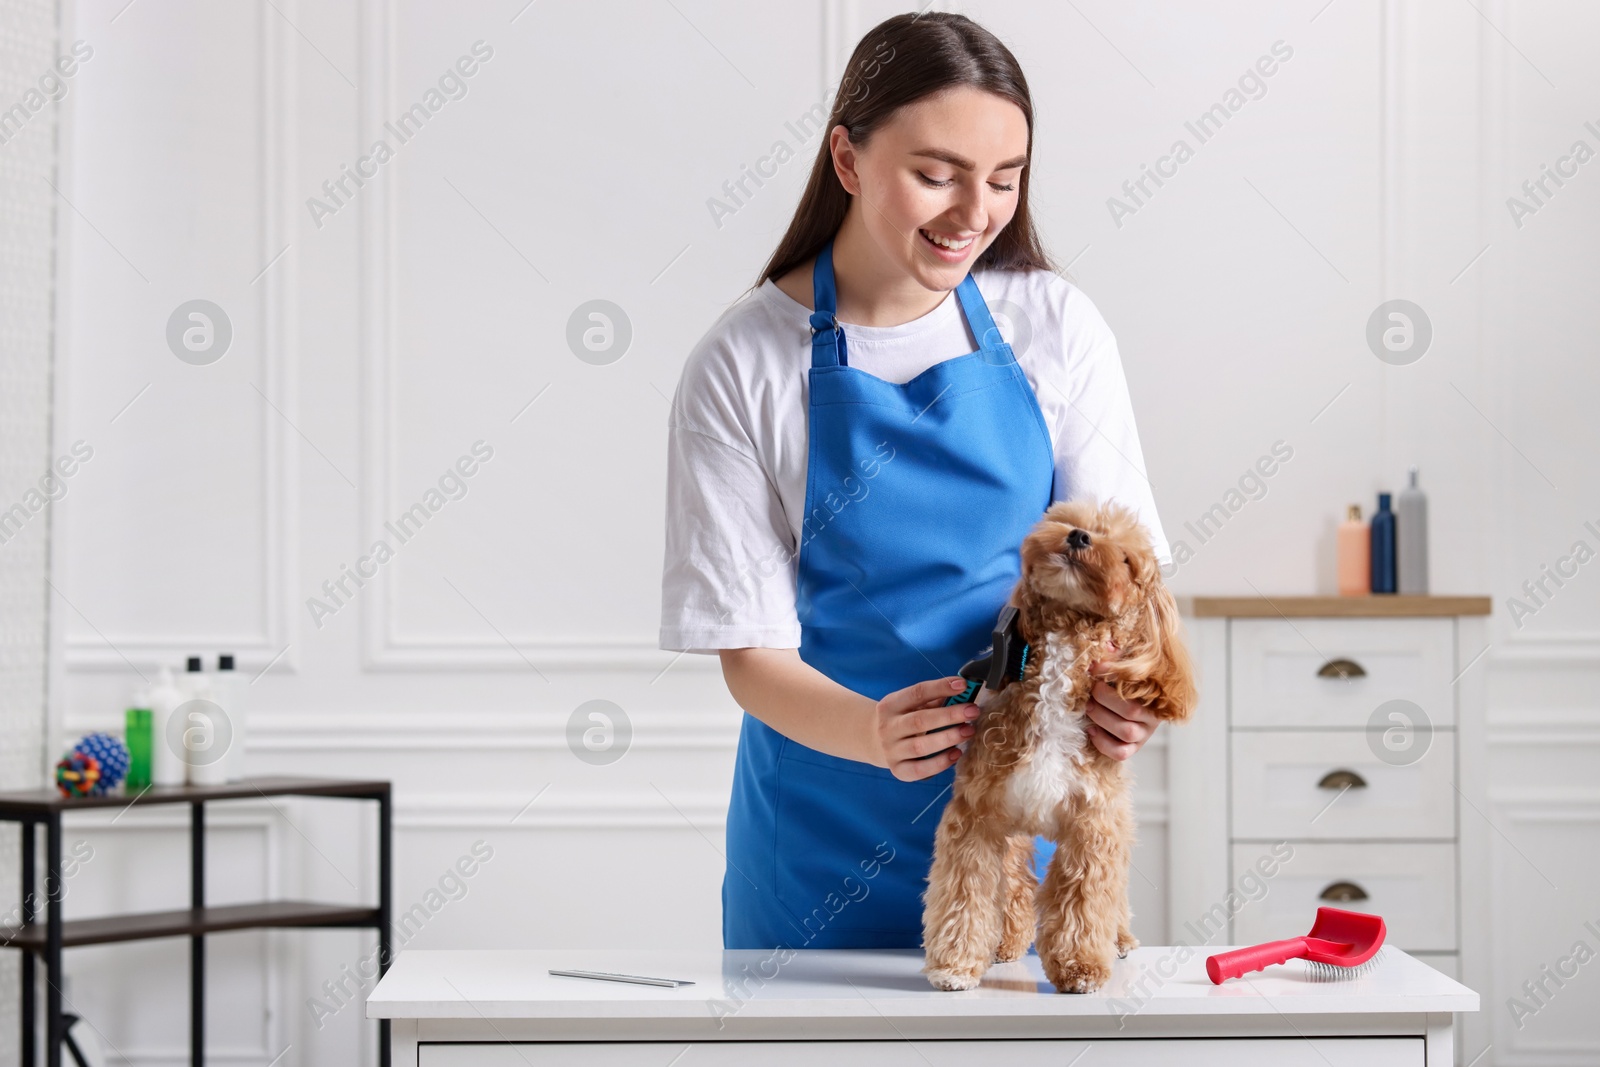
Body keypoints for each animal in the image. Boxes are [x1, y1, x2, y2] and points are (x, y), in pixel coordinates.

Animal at [921, 502, 1196, 991]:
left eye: (1126, 558)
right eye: (1068, 519)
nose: (1079, 538)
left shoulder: (1092, 828)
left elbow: (1082, 904)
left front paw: (1080, 967)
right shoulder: (977, 818)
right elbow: (965, 895)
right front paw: (955, 963)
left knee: (1112, 895)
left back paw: (1119, 939)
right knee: (1014, 883)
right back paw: (1008, 942)